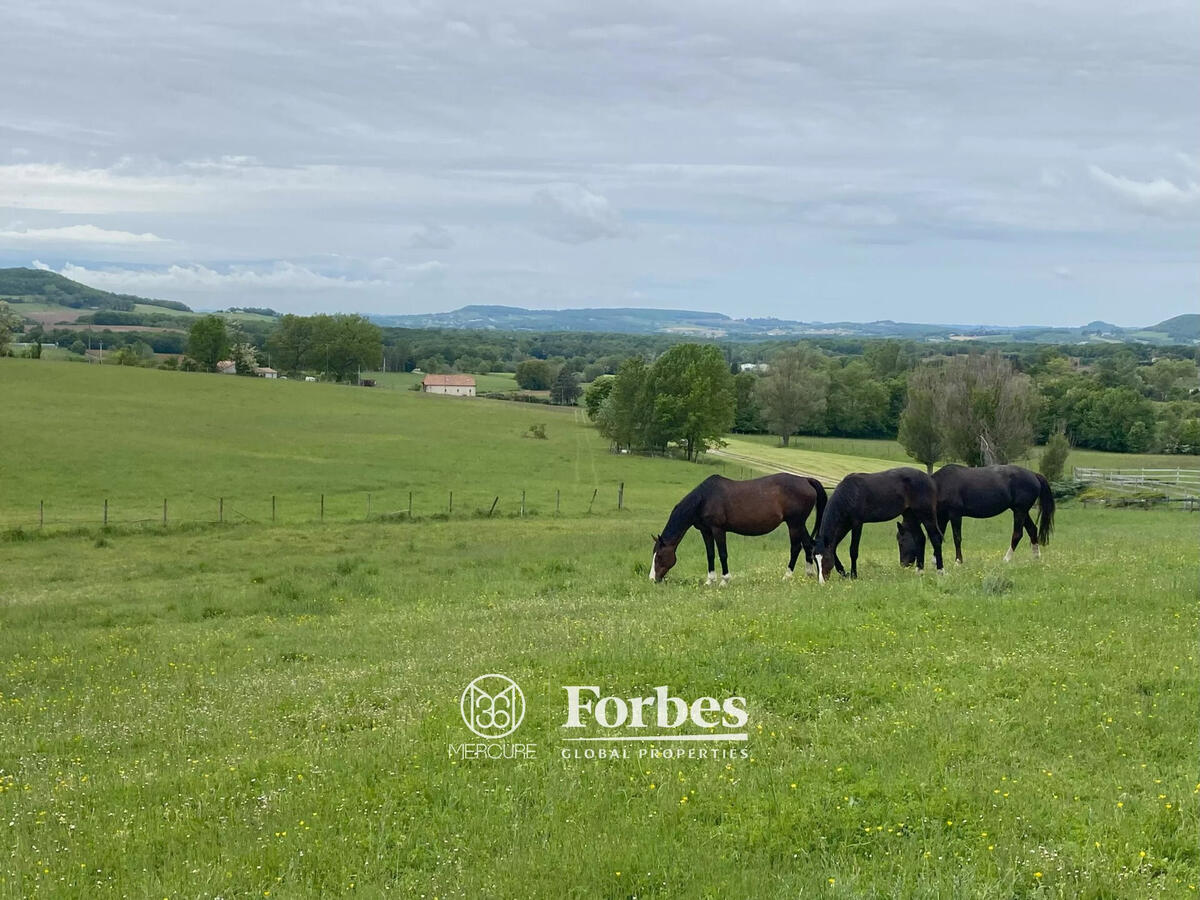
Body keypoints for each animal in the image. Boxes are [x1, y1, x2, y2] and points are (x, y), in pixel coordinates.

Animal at [652, 472, 830, 585]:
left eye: (659, 556)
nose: (653, 579)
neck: (704, 499)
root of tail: (806, 480)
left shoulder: (718, 530)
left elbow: (722, 554)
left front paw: (724, 580)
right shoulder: (706, 531)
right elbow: (710, 554)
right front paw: (710, 580)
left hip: (794, 524)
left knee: (795, 548)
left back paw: (787, 576)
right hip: (799, 524)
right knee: (808, 545)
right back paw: (809, 573)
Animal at [811, 465, 940, 585]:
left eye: (825, 558)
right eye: (815, 559)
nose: (822, 582)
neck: (849, 494)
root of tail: (929, 479)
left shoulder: (857, 524)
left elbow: (853, 550)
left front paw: (854, 575)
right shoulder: (845, 525)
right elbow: (834, 549)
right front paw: (844, 573)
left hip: (925, 514)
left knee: (935, 537)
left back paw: (940, 571)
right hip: (911, 514)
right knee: (920, 538)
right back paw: (920, 572)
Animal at [897, 465, 1056, 564]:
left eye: (902, 540)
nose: (904, 564)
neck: (939, 485)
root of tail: (1034, 475)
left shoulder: (955, 515)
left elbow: (957, 538)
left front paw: (958, 561)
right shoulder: (942, 516)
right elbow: (938, 536)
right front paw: (935, 560)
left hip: (1020, 511)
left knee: (1017, 534)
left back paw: (1006, 560)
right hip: (1021, 511)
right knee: (1032, 530)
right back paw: (1036, 558)